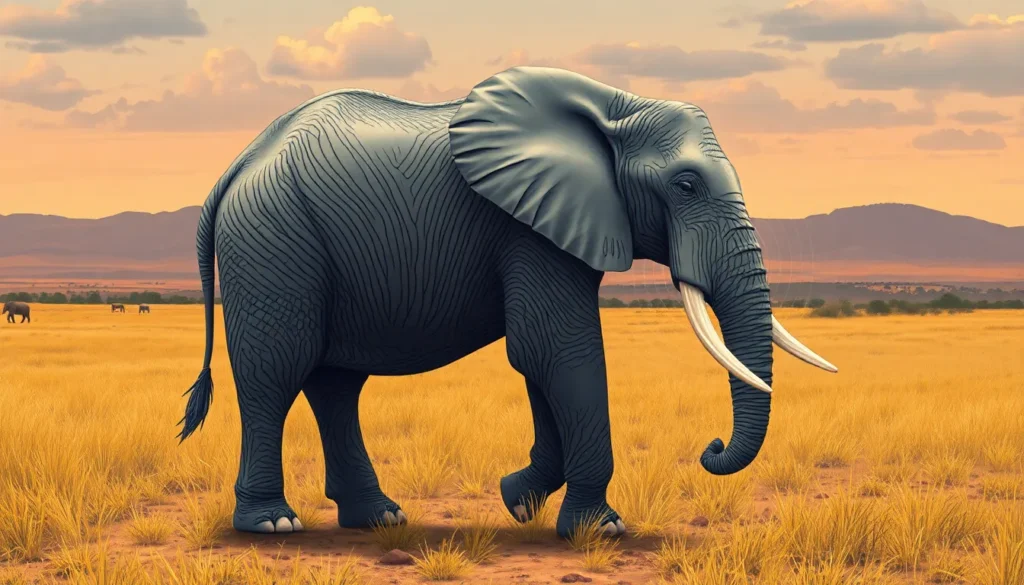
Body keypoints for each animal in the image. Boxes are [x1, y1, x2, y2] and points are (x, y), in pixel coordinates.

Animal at [179, 66, 837, 539]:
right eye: (685, 185)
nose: (712, 448)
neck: (617, 104)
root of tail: (236, 165)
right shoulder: (526, 227)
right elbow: (557, 352)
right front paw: (601, 530)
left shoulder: (546, 227)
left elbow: (543, 364)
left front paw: (517, 499)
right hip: (271, 238)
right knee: (277, 373)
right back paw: (273, 524)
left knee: (336, 383)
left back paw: (379, 519)